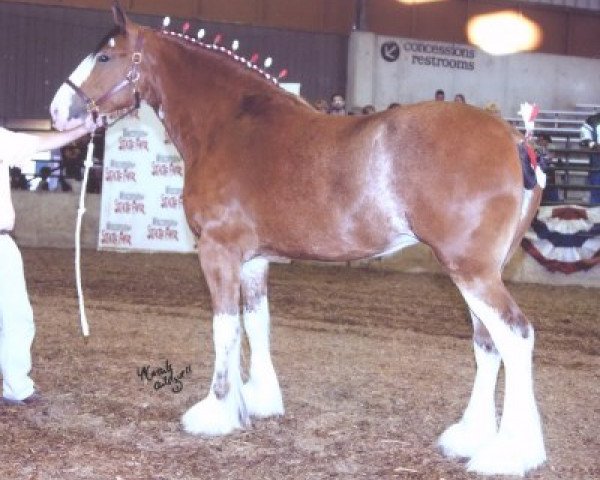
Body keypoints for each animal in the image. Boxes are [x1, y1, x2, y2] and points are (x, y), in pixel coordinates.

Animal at [52, 2, 548, 476]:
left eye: (104, 56)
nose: (58, 111)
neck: (228, 124)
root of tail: (513, 138)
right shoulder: (253, 259)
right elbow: (256, 322)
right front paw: (257, 400)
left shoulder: (217, 250)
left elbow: (224, 327)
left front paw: (215, 411)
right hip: (477, 272)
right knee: (488, 343)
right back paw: (471, 437)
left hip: (471, 270)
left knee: (515, 336)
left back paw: (509, 454)